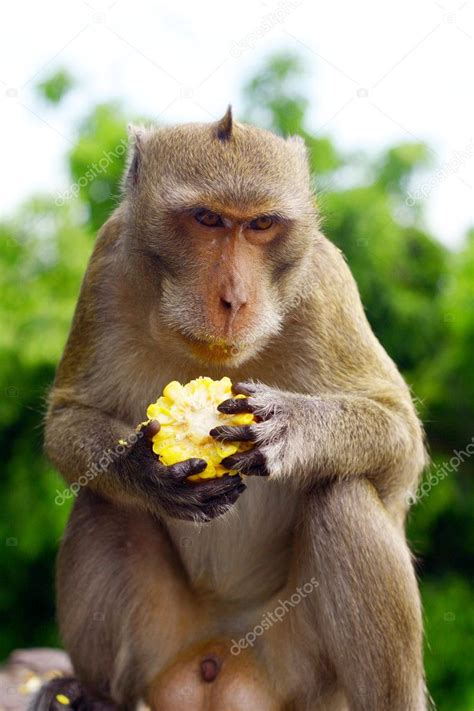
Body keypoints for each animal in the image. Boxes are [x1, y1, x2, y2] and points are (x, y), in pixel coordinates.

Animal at [32, 107, 426, 711]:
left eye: (260, 225)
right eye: (207, 219)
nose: (233, 300)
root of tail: (221, 651)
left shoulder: (324, 283)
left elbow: (399, 439)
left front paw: (295, 429)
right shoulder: (107, 262)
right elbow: (69, 417)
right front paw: (141, 470)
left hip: (300, 672)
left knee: (342, 496)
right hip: (162, 641)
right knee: (103, 504)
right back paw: (96, 695)